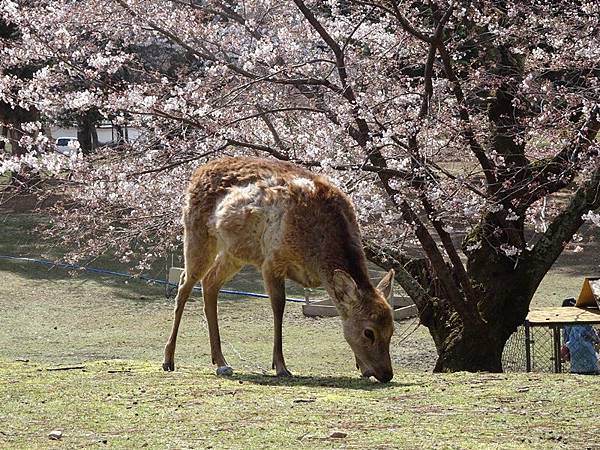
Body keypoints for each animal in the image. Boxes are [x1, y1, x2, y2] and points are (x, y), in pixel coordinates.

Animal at [162, 156, 396, 382]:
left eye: (392, 329)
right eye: (368, 332)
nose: (386, 374)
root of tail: (197, 173)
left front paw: (361, 367)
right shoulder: (272, 260)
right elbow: (278, 306)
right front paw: (281, 366)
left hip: (234, 252)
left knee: (210, 282)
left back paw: (221, 362)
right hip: (197, 233)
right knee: (184, 283)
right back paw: (169, 359)